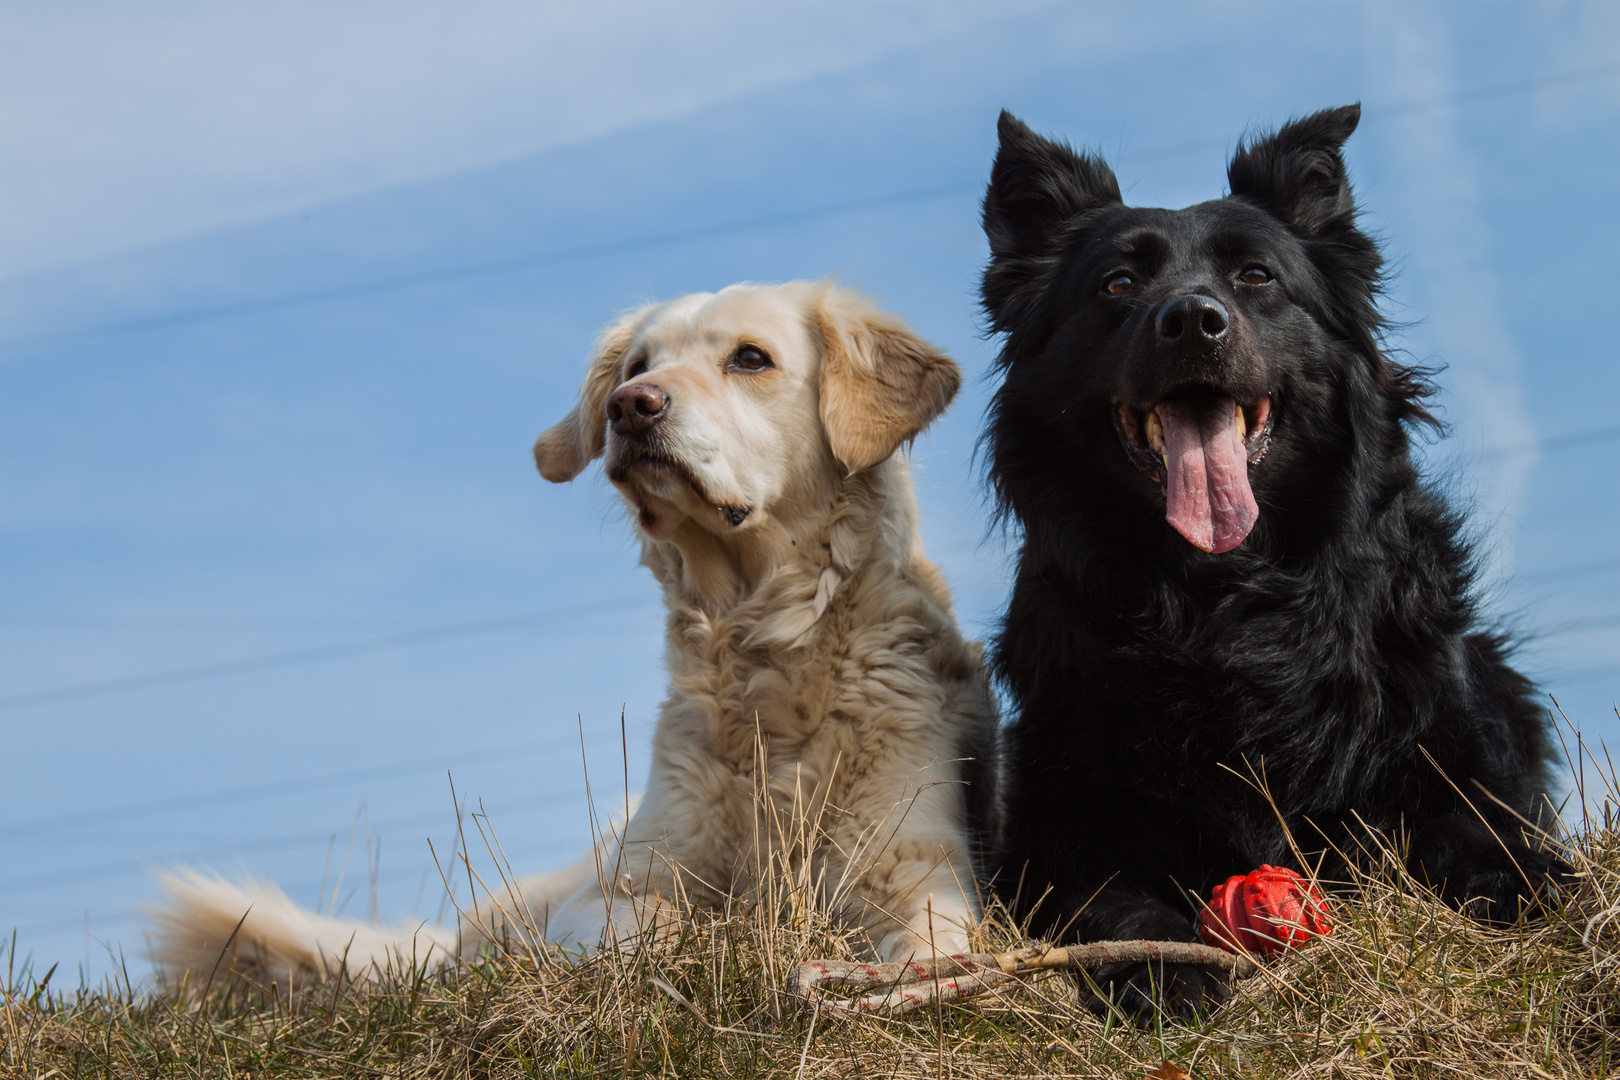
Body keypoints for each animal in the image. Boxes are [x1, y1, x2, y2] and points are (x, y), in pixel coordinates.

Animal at [157, 281, 1004, 990]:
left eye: (750, 358)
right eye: (637, 365)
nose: (632, 406)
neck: (765, 646)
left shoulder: (916, 866)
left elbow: (931, 941)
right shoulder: (623, 881)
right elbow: (647, 925)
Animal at [978, 105, 1561, 1016]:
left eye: (1255, 276)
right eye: (1117, 285)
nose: (1191, 320)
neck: (1228, 598)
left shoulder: (1451, 754)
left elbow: (1466, 826)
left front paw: (1519, 880)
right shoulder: (1062, 827)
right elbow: (1110, 897)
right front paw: (1162, 964)